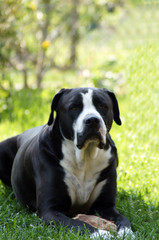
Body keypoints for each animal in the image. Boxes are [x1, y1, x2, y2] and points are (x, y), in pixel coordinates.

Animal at [0, 87, 132, 238]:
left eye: (102, 106)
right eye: (74, 107)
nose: (92, 120)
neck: (85, 157)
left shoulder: (106, 206)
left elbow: (124, 220)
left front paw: (126, 233)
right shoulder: (51, 211)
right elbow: (81, 224)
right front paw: (103, 234)